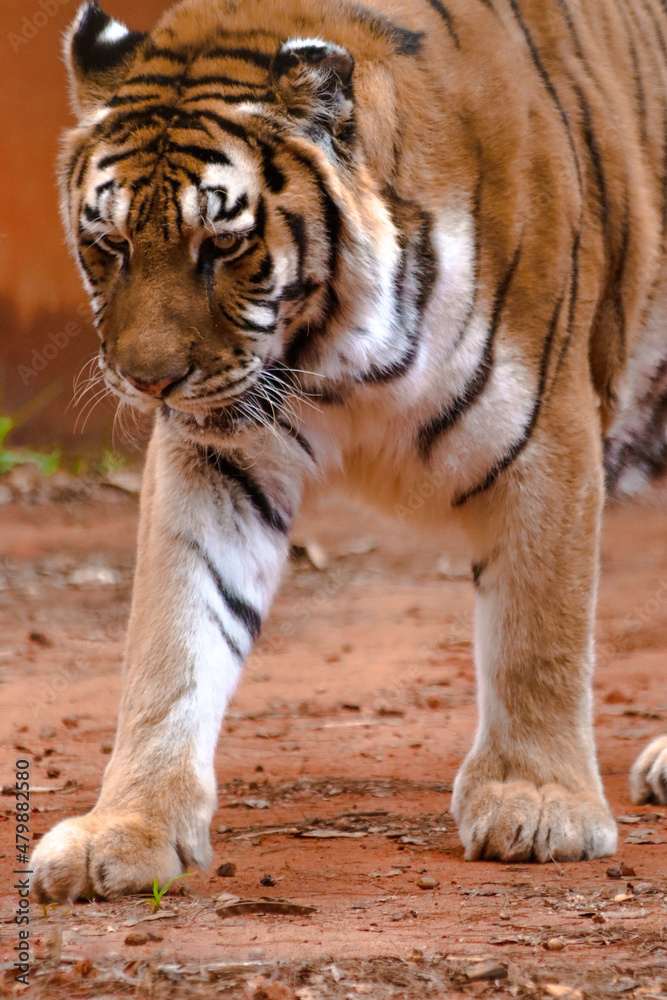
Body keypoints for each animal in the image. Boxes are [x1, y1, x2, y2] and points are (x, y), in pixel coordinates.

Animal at [31, 0, 667, 902]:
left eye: (222, 246)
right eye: (112, 244)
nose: (150, 381)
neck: (333, 357)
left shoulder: (546, 429)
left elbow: (537, 634)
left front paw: (539, 803)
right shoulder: (219, 453)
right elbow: (174, 636)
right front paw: (125, 827)